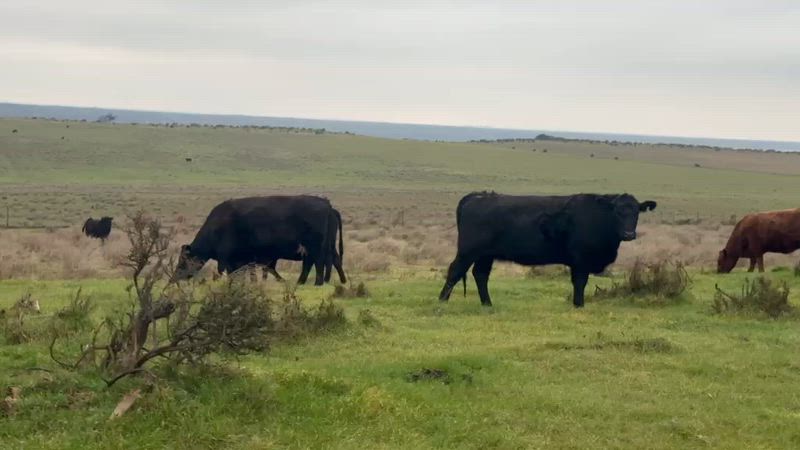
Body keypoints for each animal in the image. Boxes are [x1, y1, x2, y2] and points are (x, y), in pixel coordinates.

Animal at [173, 195, 339, 285]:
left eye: (182, 261)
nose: (173, 279)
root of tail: (325, 203)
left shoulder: (226, 258)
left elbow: (229, 273)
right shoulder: (245, 259)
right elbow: (249, 274)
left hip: (315, 248)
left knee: (318, 263)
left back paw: (317, 283)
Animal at [438, 192, 657, 308]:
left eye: (636, 212)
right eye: (617, 212)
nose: (629, 234)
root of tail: (477, 195)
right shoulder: (581, 260)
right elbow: (580, 283)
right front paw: (579, 305)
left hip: (486, 254)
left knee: (480, 275)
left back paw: (487, 304)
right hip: (468, 251)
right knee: (455, 271)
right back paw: (442, 301)